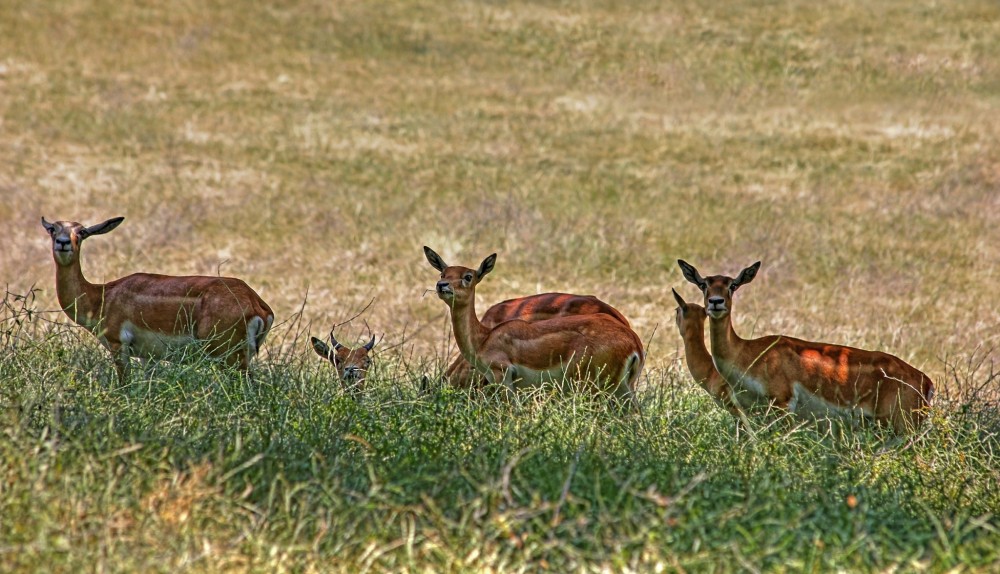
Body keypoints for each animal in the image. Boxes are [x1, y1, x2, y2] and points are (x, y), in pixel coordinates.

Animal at [41, 217, 274, 382]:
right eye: (53, 229)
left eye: (81, 231)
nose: (63, 243)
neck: (101, 297)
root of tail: (257, 304)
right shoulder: (149, 356)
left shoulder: (118, 345)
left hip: (228, 355)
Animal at [676, 260, 932, 436]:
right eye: (703, 284)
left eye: (733, 285)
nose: (715, 302)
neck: (749, 354)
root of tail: (926, 382)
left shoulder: (782, 403)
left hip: (901, 428)